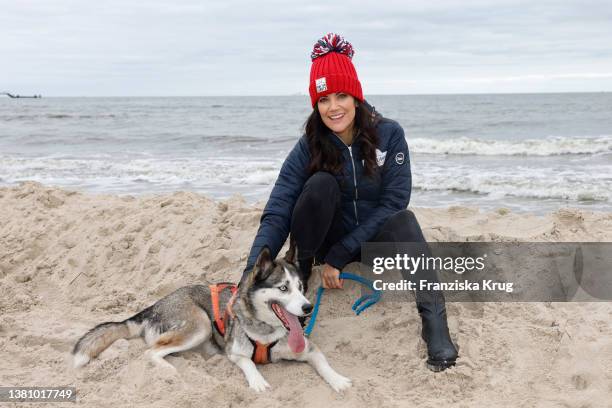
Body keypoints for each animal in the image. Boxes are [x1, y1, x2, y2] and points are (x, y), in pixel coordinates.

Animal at [73, 242, 350, 392]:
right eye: (283, 288)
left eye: (301, 287)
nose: (308, 307)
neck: (266, 330)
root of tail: (155, 305)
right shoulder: (235, 353)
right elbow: (249, 363)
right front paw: (258, 381)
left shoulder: (308, 349)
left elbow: (323, 362)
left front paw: (337, 380)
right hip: (201, 324)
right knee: (150, 352)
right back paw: (169, 370)